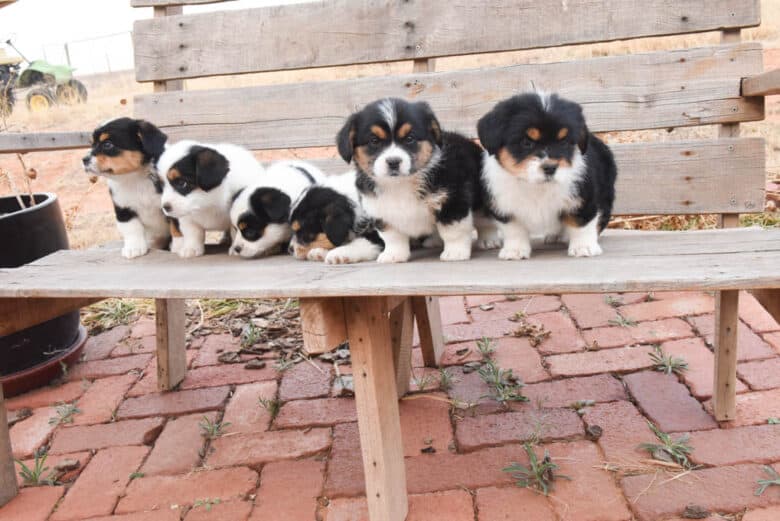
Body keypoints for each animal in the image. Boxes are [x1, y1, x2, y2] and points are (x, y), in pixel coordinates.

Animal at [82, 116, 174, 258]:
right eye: (92, 144)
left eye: (107, 144)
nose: (84, 160)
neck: (134, 178)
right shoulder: (123, 208)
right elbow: (132, 228)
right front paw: (134, 249)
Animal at [336, 96, 488, 264]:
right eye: (374, 141)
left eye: (409, 138)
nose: (393, 162)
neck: (400, 184)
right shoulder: (382, 213)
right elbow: (393, 238)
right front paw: (393, 255)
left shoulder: (452, 202)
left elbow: (453, 231)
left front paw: (455, 253)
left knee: (485, 220)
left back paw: (488, 239)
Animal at [478, 92, 620, 258]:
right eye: (526, 142)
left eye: (563, 142)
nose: (550, 168)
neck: (536, 186)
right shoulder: (505, 207)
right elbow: (514, 229)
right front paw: (515, 250)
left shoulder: (584, 199)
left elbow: (582, 223)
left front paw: (583, 247)